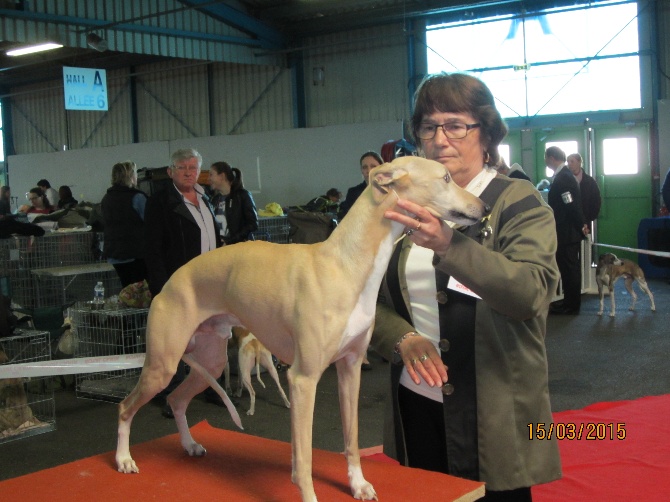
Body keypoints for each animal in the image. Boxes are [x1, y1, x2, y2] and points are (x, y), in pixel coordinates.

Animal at [115, 156, 488, 498]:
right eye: (446, 177)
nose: (483, 208)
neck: (345, 265)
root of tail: (170, 281)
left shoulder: (350, 368)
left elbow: (351, 439)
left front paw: (358, 484)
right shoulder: (303, 379)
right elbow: (303, 459)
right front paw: (310, 493)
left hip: (210, 361)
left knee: (177, 399)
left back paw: (190, 445)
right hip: (162, 364)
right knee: (126, 407)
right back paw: (123, 459)